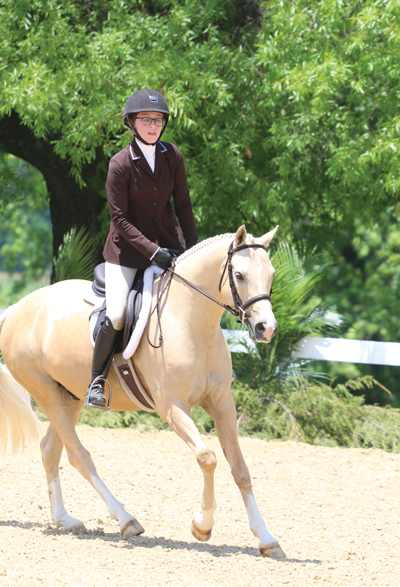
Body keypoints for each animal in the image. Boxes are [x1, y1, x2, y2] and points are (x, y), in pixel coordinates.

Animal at [0, 223, 284, 560]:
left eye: (271, 274)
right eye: (239, 275)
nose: (266, 328)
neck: (190, 320)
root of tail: (17, 308)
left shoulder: (222, 404)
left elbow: (240, 469)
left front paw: (266, 538)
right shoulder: (172, 407)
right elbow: (207, 457)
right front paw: (202, 525)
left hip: (69, 396)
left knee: (50, 450)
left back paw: (65, 520)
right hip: (46, 394)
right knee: (78, 455)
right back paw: (126, 520)